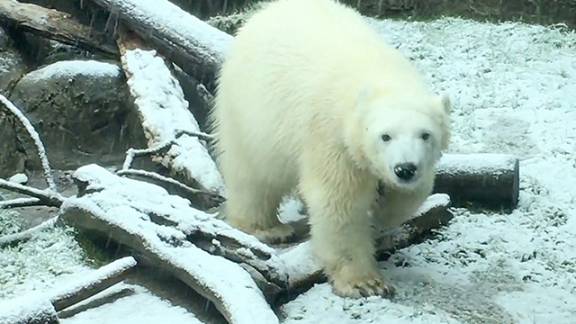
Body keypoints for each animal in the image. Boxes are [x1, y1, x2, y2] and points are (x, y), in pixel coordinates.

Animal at [212, 0, 450, 298]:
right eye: (385, 136)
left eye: (425, 135)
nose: (404, 169)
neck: (378, 75)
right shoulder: (331, 136)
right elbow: (339, 202)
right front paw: (365, 282)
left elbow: (414, 192)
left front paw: (383, 210)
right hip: (250, 112)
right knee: (254, 174)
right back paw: (267, 228)